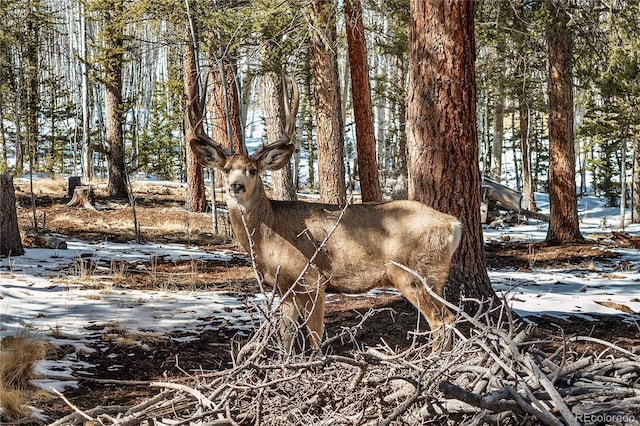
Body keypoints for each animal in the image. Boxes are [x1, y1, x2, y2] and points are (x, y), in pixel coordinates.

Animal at [188, 78, 462, 352]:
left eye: (253, 170)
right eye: (225, 169)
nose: (236, 186)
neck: (269, 235)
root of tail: (453, 224)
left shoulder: (312, 279)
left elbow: (314, 336)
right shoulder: (285, 287)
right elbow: (286, 336)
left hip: (414, 272)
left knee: (442, 320)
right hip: (433, 276)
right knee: (447, 317)